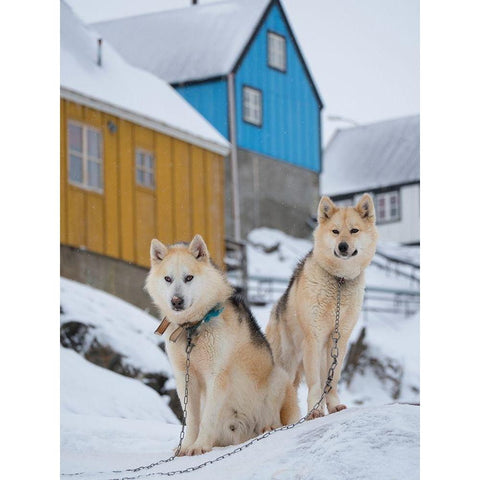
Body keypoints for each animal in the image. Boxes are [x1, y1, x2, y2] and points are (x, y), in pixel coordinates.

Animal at [144, 234, 298, 456]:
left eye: (189, 278)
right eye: (168, 279)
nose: (176, 301)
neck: (193, 327)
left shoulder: (216, 376)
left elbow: (208, 417)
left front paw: (199, 446)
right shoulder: (185, 378)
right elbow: (192, 420)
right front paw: (187, 446)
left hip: (278, 378)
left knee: (275, 421)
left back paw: (267, 428)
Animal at [264, 193, 376, 418]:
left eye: (354, 230)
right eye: (335, 231)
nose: (343, 246)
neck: (339, 281)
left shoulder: (340, 341)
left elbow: (332, 381)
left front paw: (333, 406)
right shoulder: (313, 339)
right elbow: (316, 383)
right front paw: (315, 411)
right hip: (286, 364)